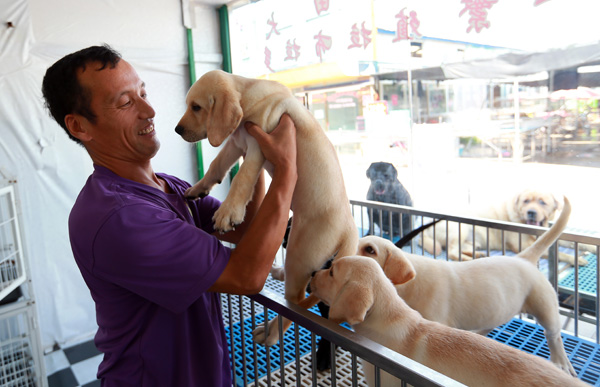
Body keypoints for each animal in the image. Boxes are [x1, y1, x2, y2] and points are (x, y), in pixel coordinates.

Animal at [176, 69, 358, 346]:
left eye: (196, 107)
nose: (177, 130)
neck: (248, 96)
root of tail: (349, 230)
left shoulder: (257, 147)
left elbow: (242, 178)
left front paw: (228, 212)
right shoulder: (236, 143)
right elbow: (217, 164)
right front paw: (199, 188)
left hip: (299, 252)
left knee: (296, 305)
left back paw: (271, 333)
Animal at [422, 189, 584, 266]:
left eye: (542, 202)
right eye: (526, 201)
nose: (531, 212)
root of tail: (426, 228)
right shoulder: (523, 246)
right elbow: (559, 253)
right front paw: (575, 259)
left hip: (472, 241)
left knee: (463, 249)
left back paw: (477, 256)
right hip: (460, 229)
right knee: (452, 253)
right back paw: (469, 260)